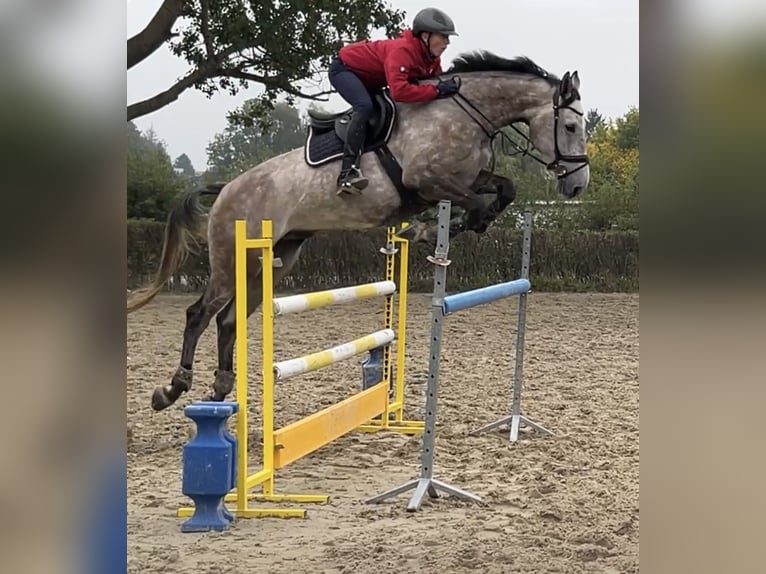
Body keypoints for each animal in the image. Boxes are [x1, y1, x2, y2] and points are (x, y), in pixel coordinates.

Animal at [127, 51, 592, 412]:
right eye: (571, 127)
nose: (578, 186)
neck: (464, 112)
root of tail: (226, 189)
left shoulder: (469, 178)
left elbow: (504, 189)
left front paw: (449, 227)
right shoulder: (428, 181)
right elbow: (474, 204)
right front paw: (430, 231)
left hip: (273, 261)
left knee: (228, 320)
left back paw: (221, 388)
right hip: (232, 257)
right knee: (200, 314)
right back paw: (172, 389)